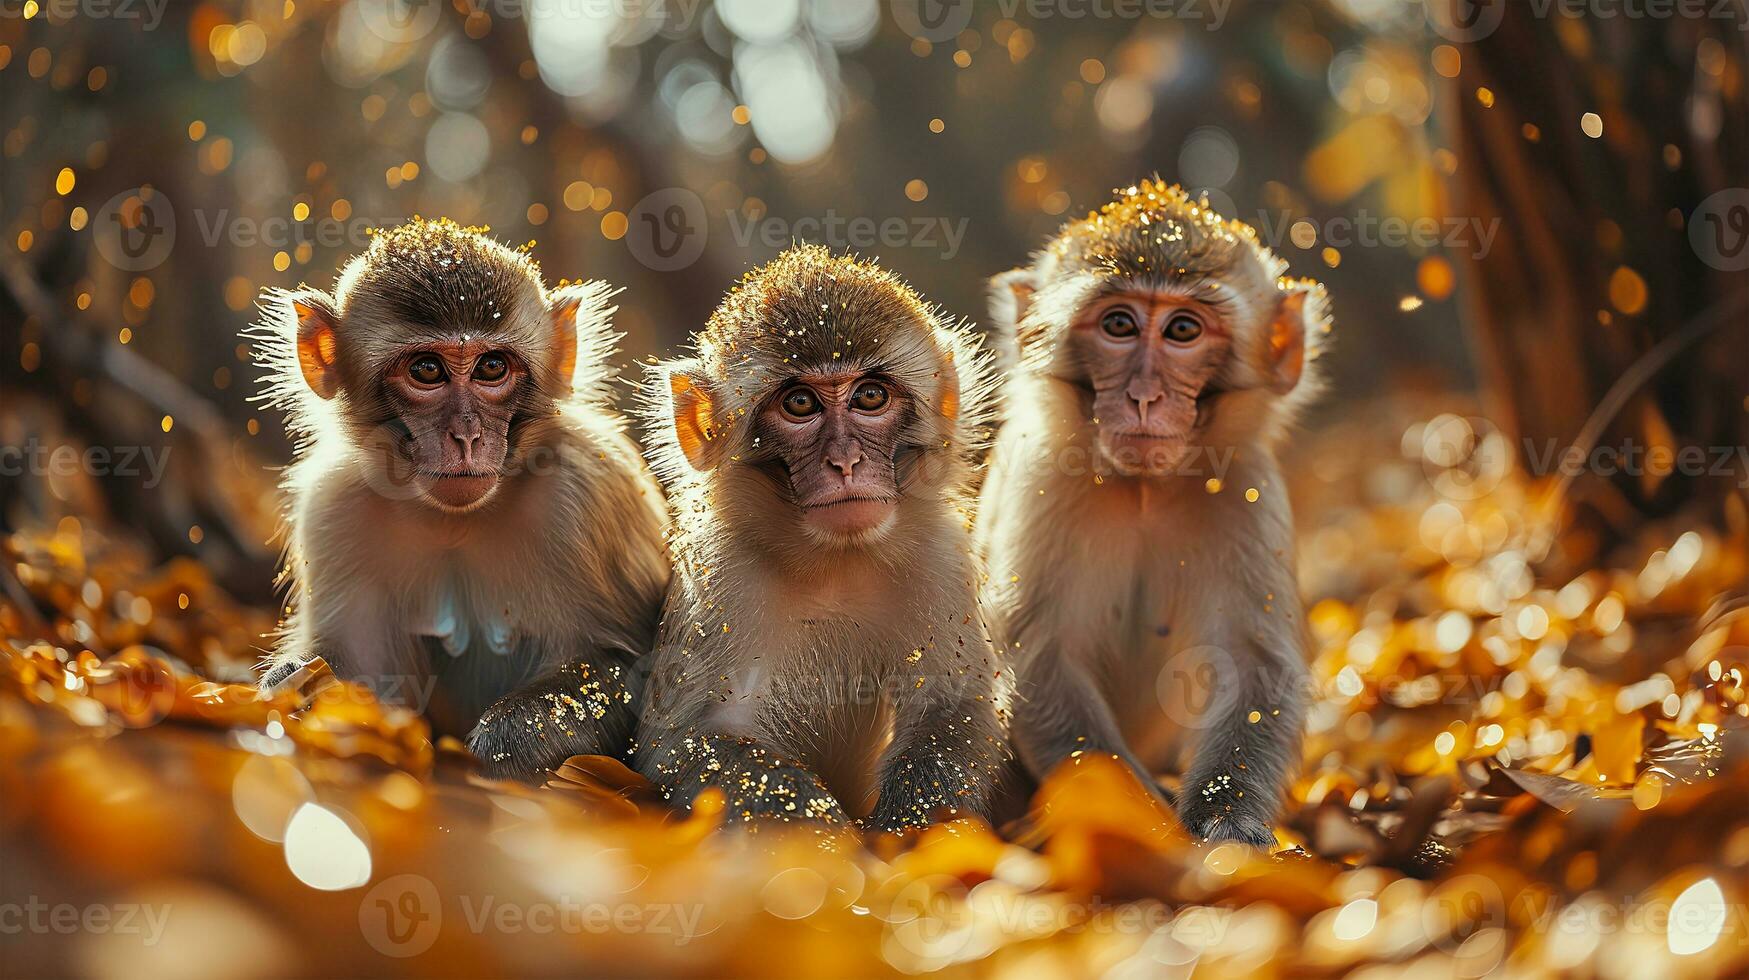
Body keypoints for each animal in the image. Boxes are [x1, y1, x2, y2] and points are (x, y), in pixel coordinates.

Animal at [250, 216, 671, 780]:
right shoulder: (334, 506)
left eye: (492, 367)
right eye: (427, 370)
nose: (467, 436)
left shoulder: (588, 491)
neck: (459, 518)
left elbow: (627, 663)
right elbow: (363, 673)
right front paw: (297, 688)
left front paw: (505, 745)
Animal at [636, 243, 1007, 826]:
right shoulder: (721, 576)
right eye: (800, 405)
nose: (846, 462)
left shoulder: (940, 558)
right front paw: (826, 834)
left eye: (870, 397)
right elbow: (692, 736)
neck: (836, 563)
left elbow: (954, 703)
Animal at [979, 183, 1329, 850]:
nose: (1143, 397)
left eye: (1183, 330)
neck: (1143, 489)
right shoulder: (1043, 477)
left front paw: (1227, 825)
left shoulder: (1246, 488)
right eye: (1118, 325)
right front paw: (1142, 821)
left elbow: (1253, 665)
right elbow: (1041, 659)